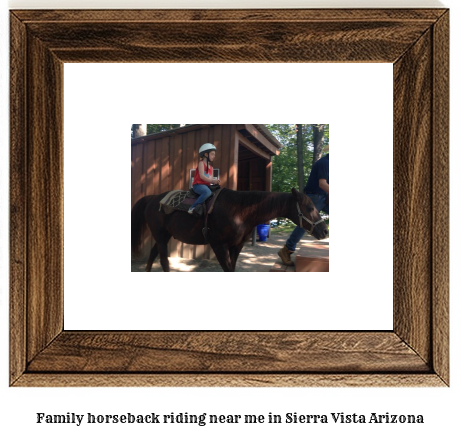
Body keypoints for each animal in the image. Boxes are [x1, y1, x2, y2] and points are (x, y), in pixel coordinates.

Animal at [131, 188, 328, 272]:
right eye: (310, 207)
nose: (325, 231)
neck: (240, 210)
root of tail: (152, 198)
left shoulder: (236, 246)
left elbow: (232, 268)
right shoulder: (219, 246)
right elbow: (227, 269)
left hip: (164, 235)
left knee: (153, 254)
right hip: (161, 235)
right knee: (163, 260)